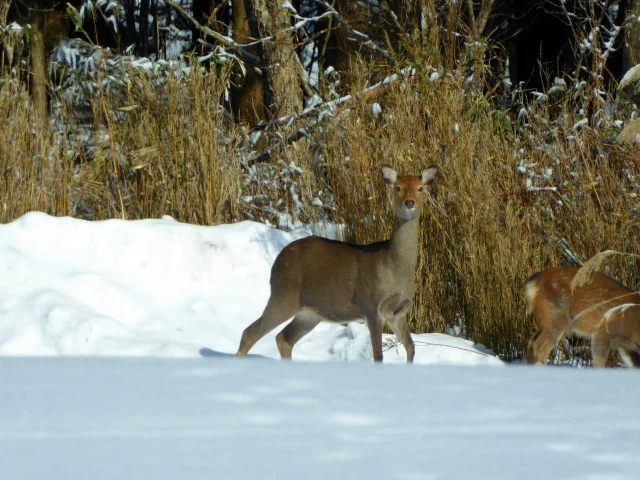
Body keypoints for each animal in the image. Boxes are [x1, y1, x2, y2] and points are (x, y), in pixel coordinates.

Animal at [235, 164, 438, 363]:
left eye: (420, 188)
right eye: (398, 188)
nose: (409, 202)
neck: (394, 267)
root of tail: (278, 259)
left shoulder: (398, 312)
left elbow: (411, 347)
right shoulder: (371, 305)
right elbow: (378, 356)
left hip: (310, 312)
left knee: (283, 338)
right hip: (284, 294)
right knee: (249, 332)